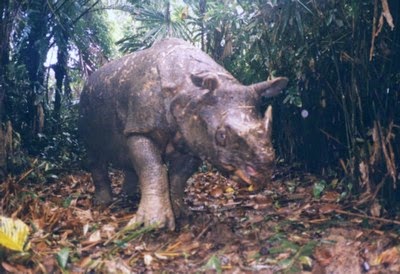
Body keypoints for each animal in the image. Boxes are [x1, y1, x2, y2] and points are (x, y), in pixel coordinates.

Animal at [79, 37, 288, 230]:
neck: (193, 93)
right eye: (221, 136)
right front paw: (154, 224)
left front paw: (181, 214)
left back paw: (129, 197)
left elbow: (178, 178)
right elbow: (153, 168)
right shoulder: (141, 128)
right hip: (86, 103)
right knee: (94, 152)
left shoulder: (192, 139)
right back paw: (103, 202)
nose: (264, 170)